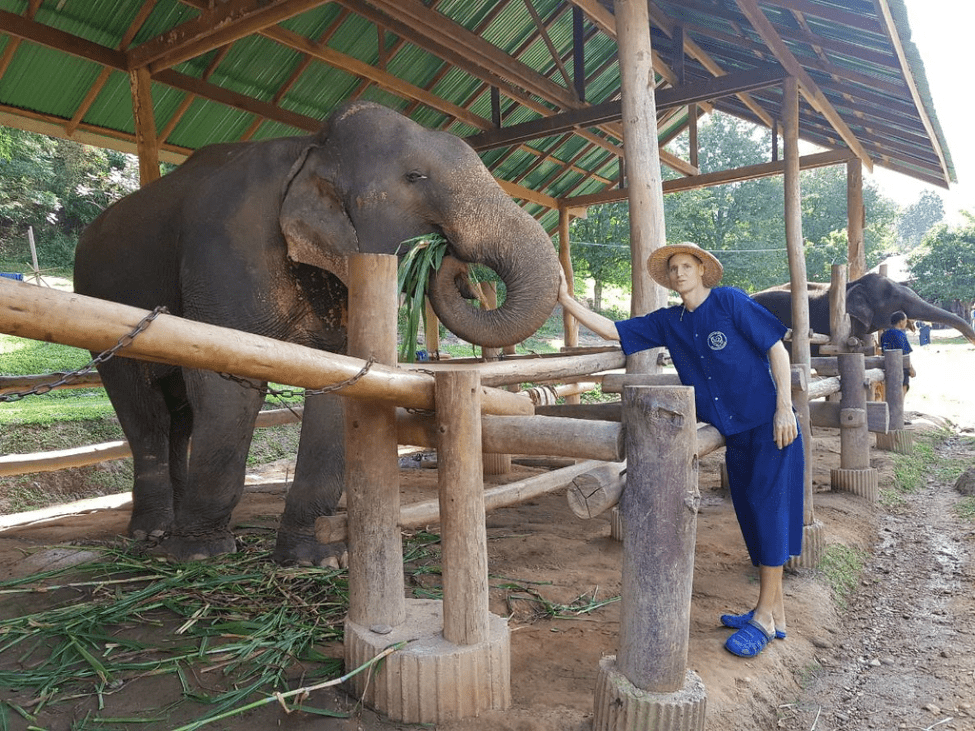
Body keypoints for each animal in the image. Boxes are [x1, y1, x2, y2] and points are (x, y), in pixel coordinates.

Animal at [74, 98, 564, 568]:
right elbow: (227, 385)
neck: (309, 147)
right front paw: (197, 555)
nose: (455, 267)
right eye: (415, 176)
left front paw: (319, 559)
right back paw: (153, 534)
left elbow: (341, 381)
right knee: (145, 410)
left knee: (178, 415)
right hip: (100, 300)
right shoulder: (225, 249)